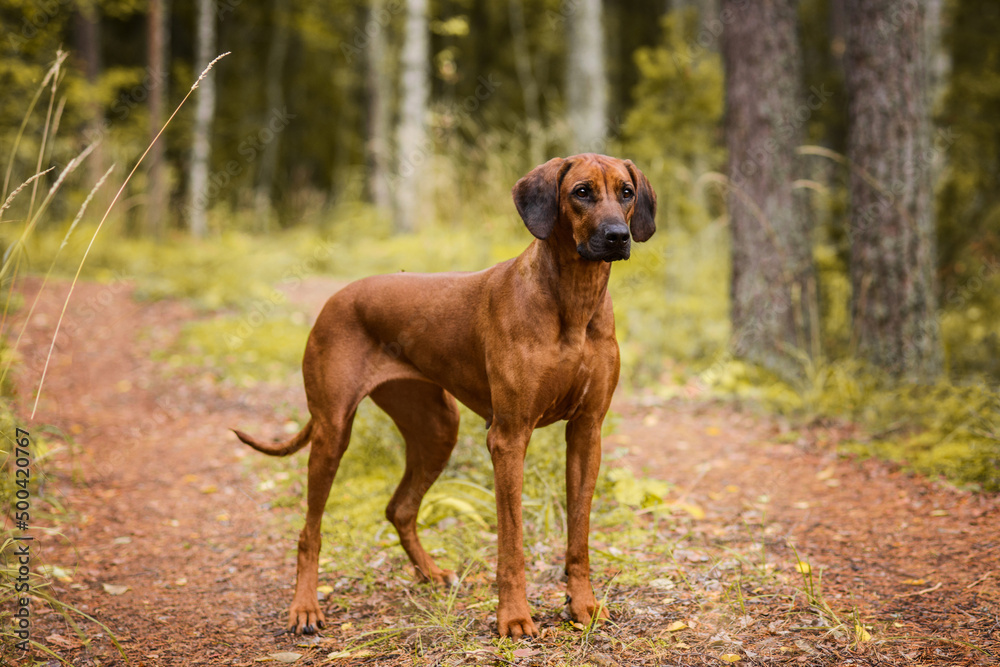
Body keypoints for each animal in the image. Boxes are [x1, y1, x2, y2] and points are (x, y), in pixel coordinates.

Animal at [233, 154, 656, 640]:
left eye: (626, 192)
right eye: (582, 192)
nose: (617, 236)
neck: (572, 300)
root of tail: (337, 296)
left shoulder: (587, 432)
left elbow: (579, 536)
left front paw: (582, 605)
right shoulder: (509, 437)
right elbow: (511, 543)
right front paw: (513, 616)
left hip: (437, 428)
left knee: (399, 508)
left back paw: (430, 573)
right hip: (333, 431)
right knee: (310, 531)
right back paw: (304, 607)